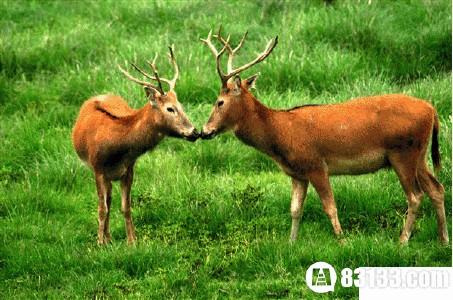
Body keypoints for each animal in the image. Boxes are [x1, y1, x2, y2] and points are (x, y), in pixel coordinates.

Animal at [72, 46, 198, 244]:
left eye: (182, 106)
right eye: (170, 108)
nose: (194, 132)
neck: (116, 147)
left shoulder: (129, 169)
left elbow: (126, 207)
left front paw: (132, 242)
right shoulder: (97, 167)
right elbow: (102, 208)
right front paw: (99, 243)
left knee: (111, 199)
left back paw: (109, 238)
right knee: (106, 202)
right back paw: (106, 239)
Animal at [199, 25, 448, 246]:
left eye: (219, 102)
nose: (204, 131)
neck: (281, 133)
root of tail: (432, 110)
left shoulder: (316, 164)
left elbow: (330, 206)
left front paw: (342, 242)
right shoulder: (298, 173)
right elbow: (295, 209)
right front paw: (291, 243)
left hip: (403, 152)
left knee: (415, 196)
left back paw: (403, 241)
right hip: (419, 154)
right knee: (436, 188)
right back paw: (443, 240)